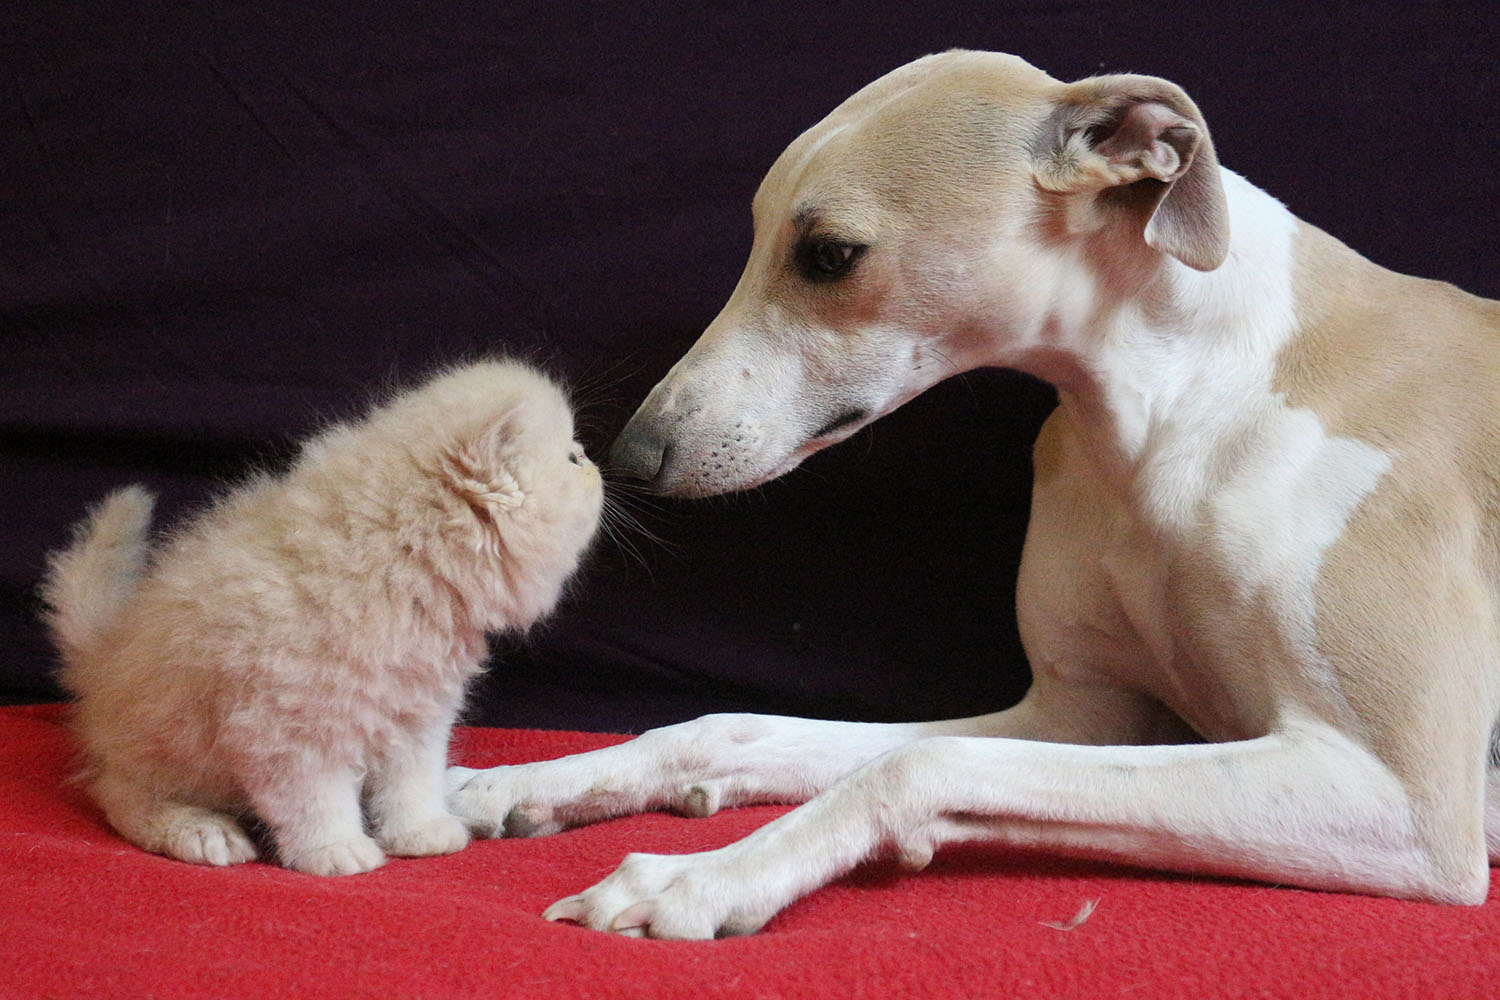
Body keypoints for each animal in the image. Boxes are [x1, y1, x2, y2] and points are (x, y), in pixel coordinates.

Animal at [36, 361, 597, 875]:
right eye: (570, 455)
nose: (594, 462)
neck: (396, 566)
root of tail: (103, 653)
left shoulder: (417, 715)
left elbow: (411, 782)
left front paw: (421, 833)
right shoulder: (287, 731)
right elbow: (315, 801)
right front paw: (335, 851)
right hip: (164, 747)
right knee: (118, 793)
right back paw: (199, 830)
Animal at [444, 46, 1500, 941]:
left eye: (829, 254)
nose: (632, 456)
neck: (1181, 404)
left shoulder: (1402, 799)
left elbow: (920, 758)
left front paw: (700, 877)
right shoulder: (1080, 718)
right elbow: (730, 725)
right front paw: (518, 784)